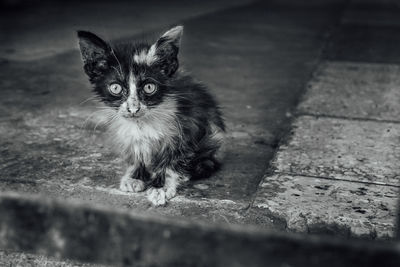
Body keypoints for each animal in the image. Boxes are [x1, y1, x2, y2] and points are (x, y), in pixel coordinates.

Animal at [76, 25, 223, 206]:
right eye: (115, 88)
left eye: (149, 87)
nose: (133, 109)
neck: (142, 123)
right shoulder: (128, 133)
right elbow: (136, 151)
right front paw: (135, 176)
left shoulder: (188, 125)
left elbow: (173, 159)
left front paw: (161, 187)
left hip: (212, 136)